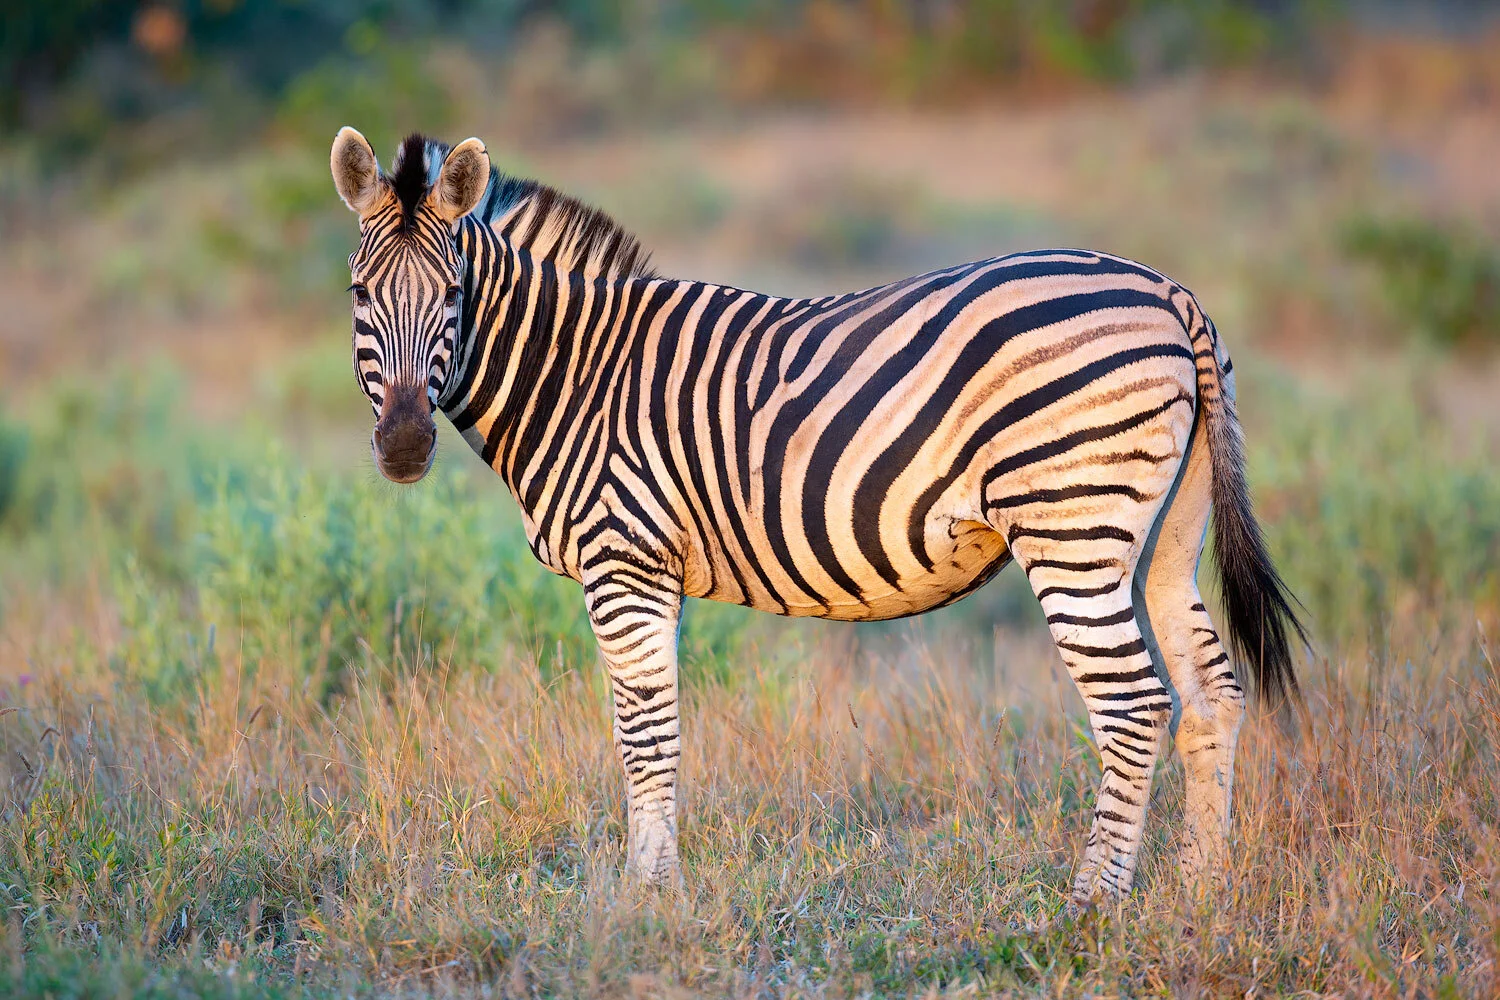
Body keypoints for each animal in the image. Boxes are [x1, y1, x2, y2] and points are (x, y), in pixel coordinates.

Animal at [330, 127, 1305, 902]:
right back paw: (1199, 891)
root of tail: (1170, 293)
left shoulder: (624, 560)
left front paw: (648, 899)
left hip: (1071, 525)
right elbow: (655, 729)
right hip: (1165, 536)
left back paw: (1094, 901)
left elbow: (643, 734)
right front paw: (657, 882)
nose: (405, 446)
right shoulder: (655, 573)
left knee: (1134, 703)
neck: (577, 372)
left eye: (453, 296)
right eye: (359, 295)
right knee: (1212, 695)